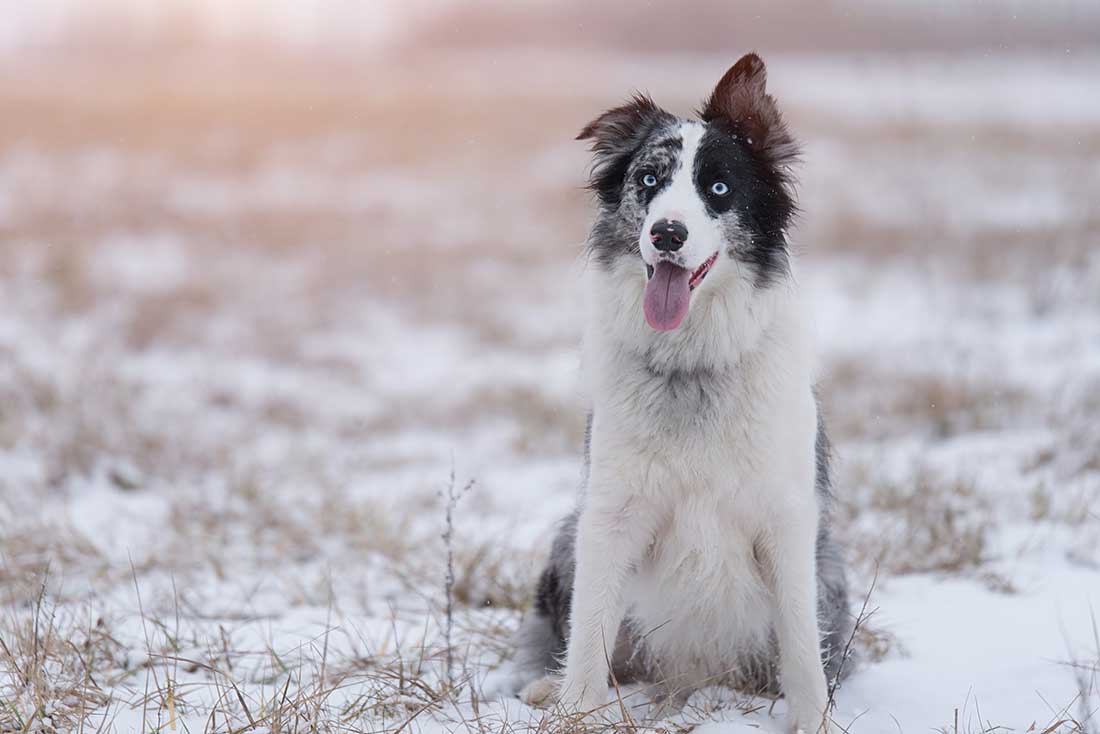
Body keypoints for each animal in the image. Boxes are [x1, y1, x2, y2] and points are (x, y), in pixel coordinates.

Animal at [497, 53, 849, 734]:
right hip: (567, 534)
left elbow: (800, 640)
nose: (666, 234)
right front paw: (576, 711)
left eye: (719, 188)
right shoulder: (609, 511)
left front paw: (811, 719)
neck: (695, 364)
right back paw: (545, 687)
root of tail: (687, 681)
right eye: (649, 179)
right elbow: (589, 631)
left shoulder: (789, 518)